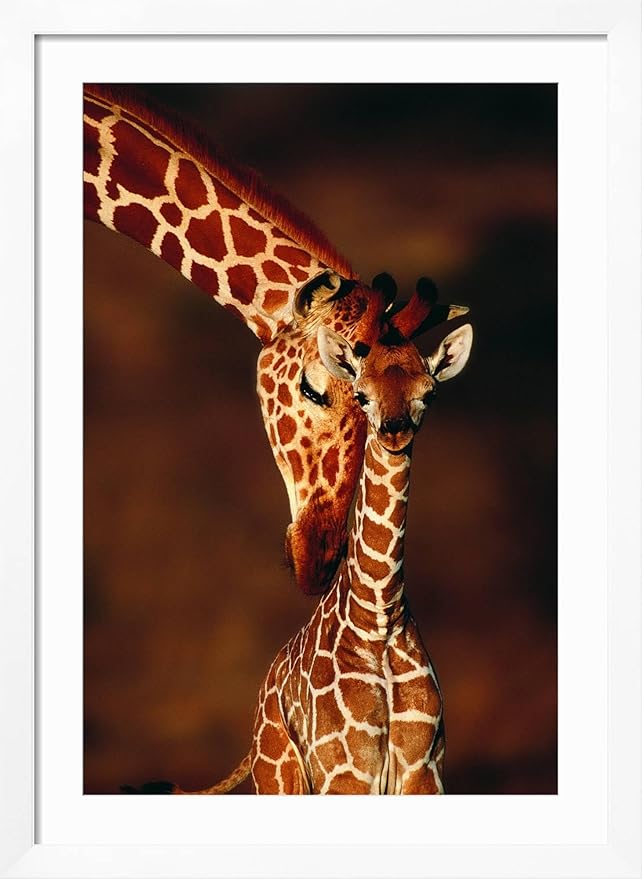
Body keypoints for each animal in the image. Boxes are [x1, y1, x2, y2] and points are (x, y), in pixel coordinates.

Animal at [141, 292, 473, 795]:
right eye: (361, 393)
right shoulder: (346, 773)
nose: (394, 429)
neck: (379, 617)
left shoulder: (425, 772)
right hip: (281, 777)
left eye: (428, 392)